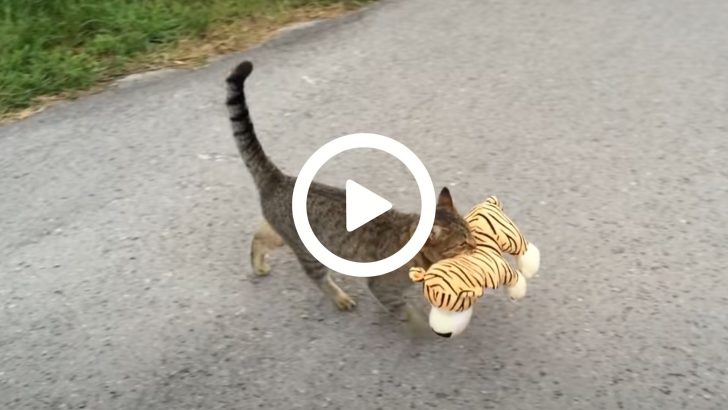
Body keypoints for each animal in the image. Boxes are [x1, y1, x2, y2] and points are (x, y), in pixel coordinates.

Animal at [225, 60, 472, 324]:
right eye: (462, 243)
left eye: (472, 234)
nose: (476, 246)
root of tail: (279, 178)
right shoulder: (383, 289)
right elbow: (409, 315)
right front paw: (423, 326)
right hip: (308, 253)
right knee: (318, 278)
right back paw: (339, 298)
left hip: (282, 235)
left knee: (259, 237)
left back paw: (258, 264)